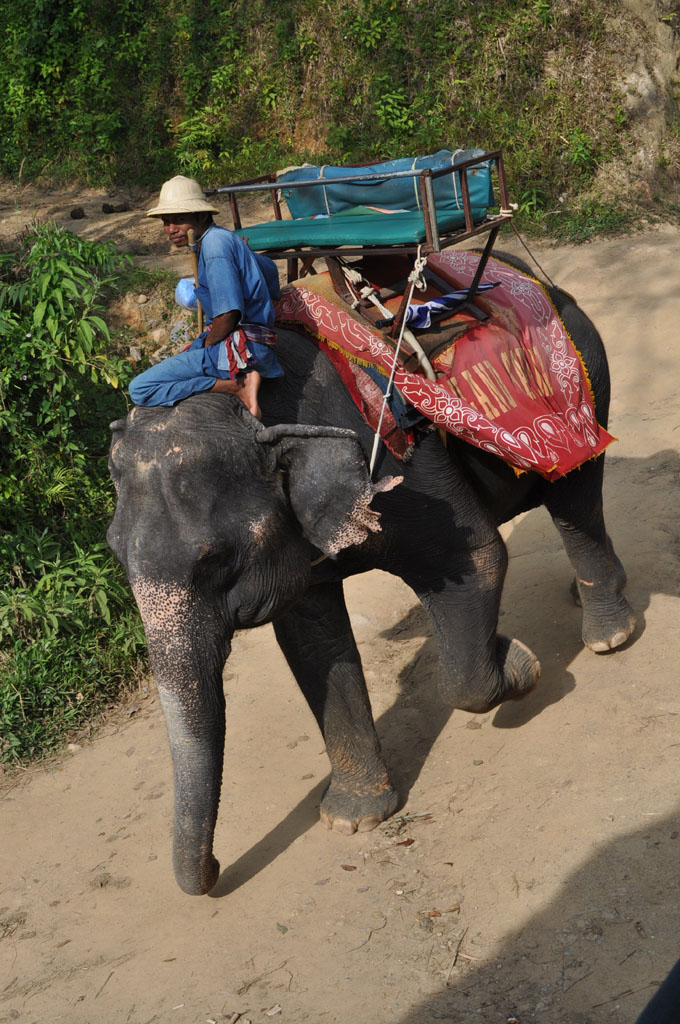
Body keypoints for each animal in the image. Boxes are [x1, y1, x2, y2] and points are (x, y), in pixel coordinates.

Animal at [106, 253, 630, 897]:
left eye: (216, 559)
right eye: (116, 556)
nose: (214, 872)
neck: (245, 408)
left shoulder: (403, 465)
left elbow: (476, 562)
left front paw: (519, 662)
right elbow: (309, 637)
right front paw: (353, 820)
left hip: (583, 382)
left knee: (575, 494)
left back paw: (608, 637)